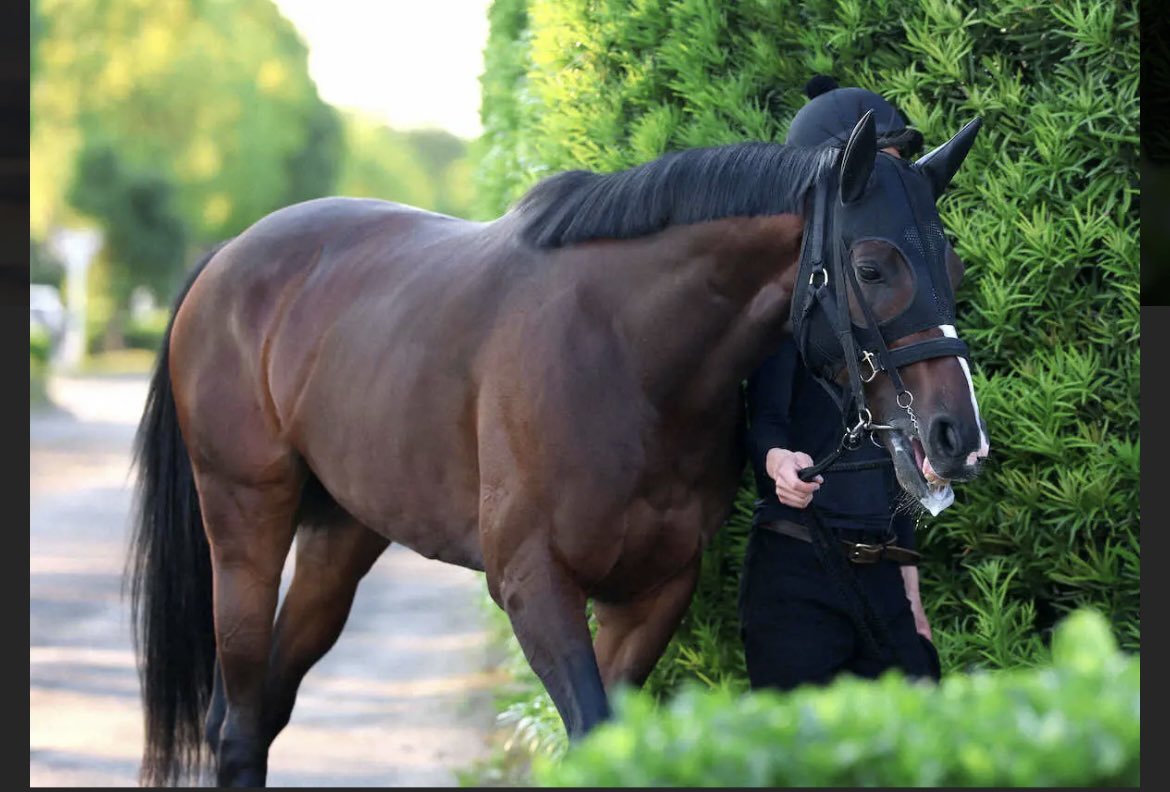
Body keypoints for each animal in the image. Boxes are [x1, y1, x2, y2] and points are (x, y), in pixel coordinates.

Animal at [128, 111, 989, 787]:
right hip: (244, 520)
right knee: (240, 724)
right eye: (872, 266)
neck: (629, 356)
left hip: (341, 534)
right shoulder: (534, 584)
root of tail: (227, 257)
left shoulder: (653, 592)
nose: (959, 436)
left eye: (951, 262)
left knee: (262, 707)